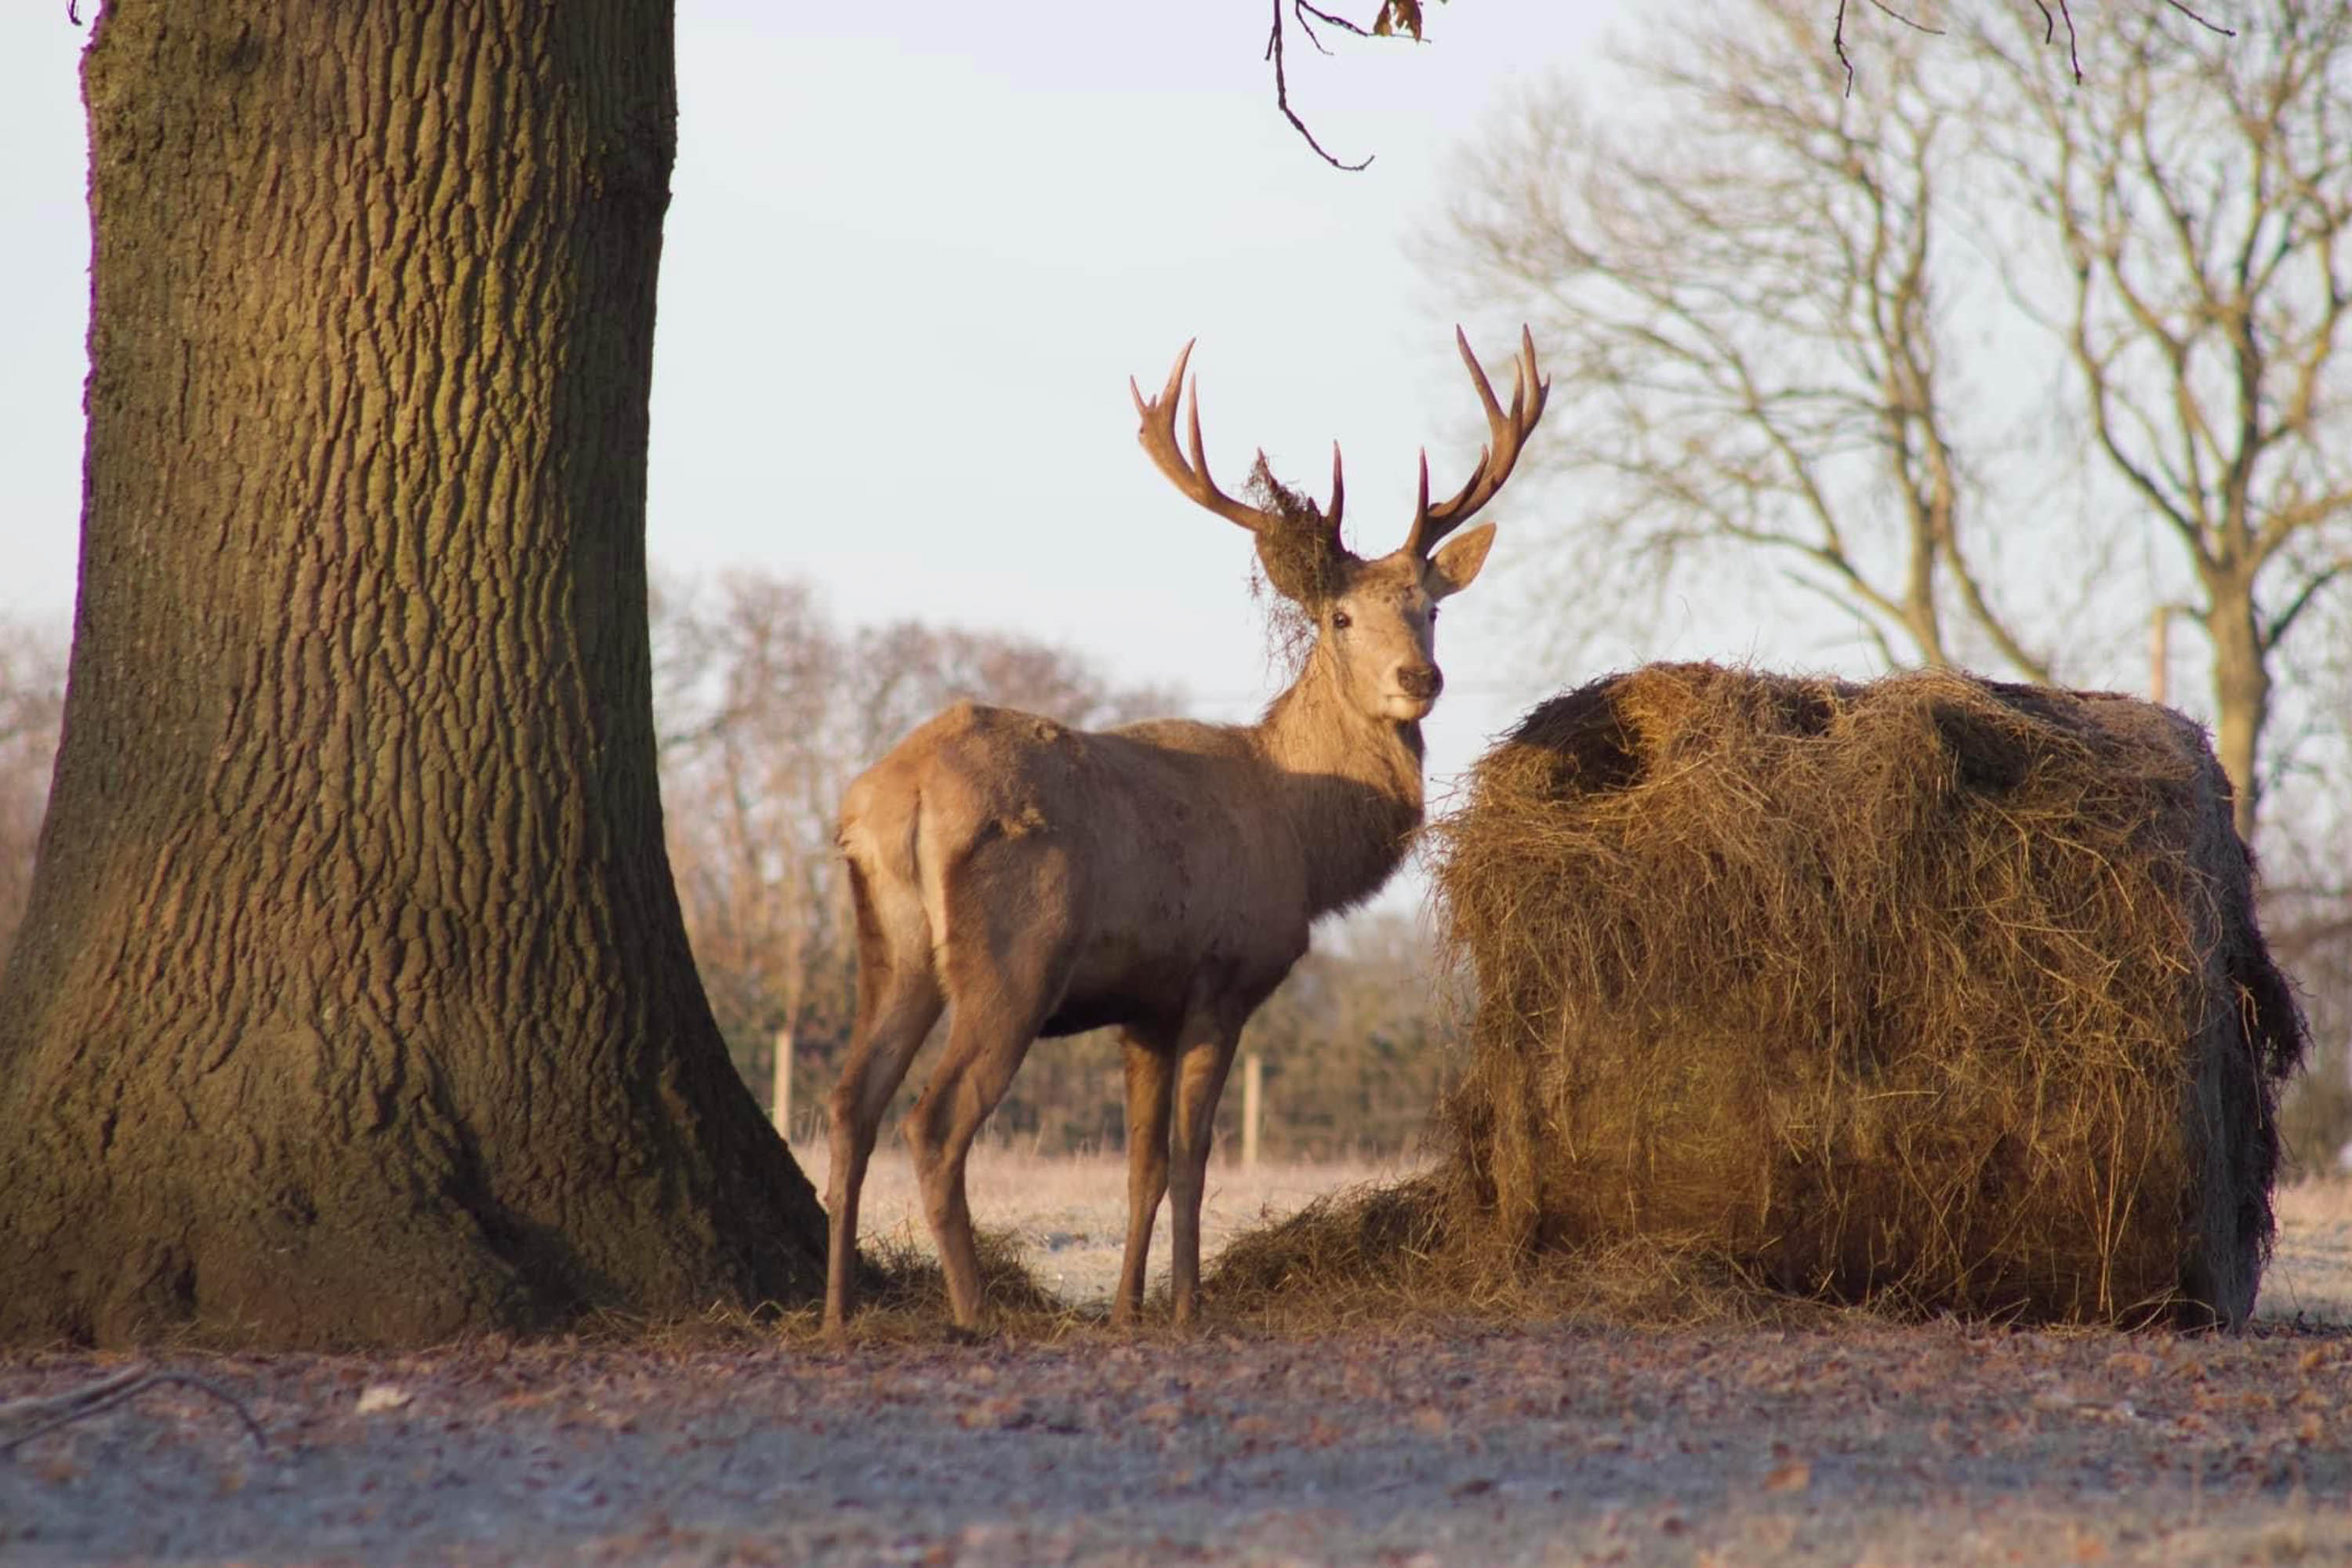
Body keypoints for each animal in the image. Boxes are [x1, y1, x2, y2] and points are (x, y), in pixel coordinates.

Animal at [821, 326, 1548, 1335]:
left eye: (1431, 607)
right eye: (1340, 614)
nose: (1420, 679)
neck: (1302, 841)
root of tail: (897, 795)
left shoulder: (1145, 1005)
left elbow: (1144, 1165)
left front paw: (1129, 1307)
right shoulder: (1221, 972)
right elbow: (1196, 1156)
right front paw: (1188, 1305)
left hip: (889, 941)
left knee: (849, 1099)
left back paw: (835, 1310)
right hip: (1016, 954)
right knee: (932, 1120)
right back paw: (975, 1311)